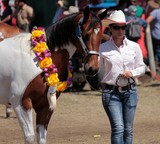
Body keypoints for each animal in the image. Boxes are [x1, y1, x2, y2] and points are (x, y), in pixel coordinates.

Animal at [0, 6, 107, 144]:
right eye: (87, 35)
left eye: (101, 37)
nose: (92, 69)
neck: (36, 57)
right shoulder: (21, 103)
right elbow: (29, 137)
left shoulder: (45, 106)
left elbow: (42, 137)